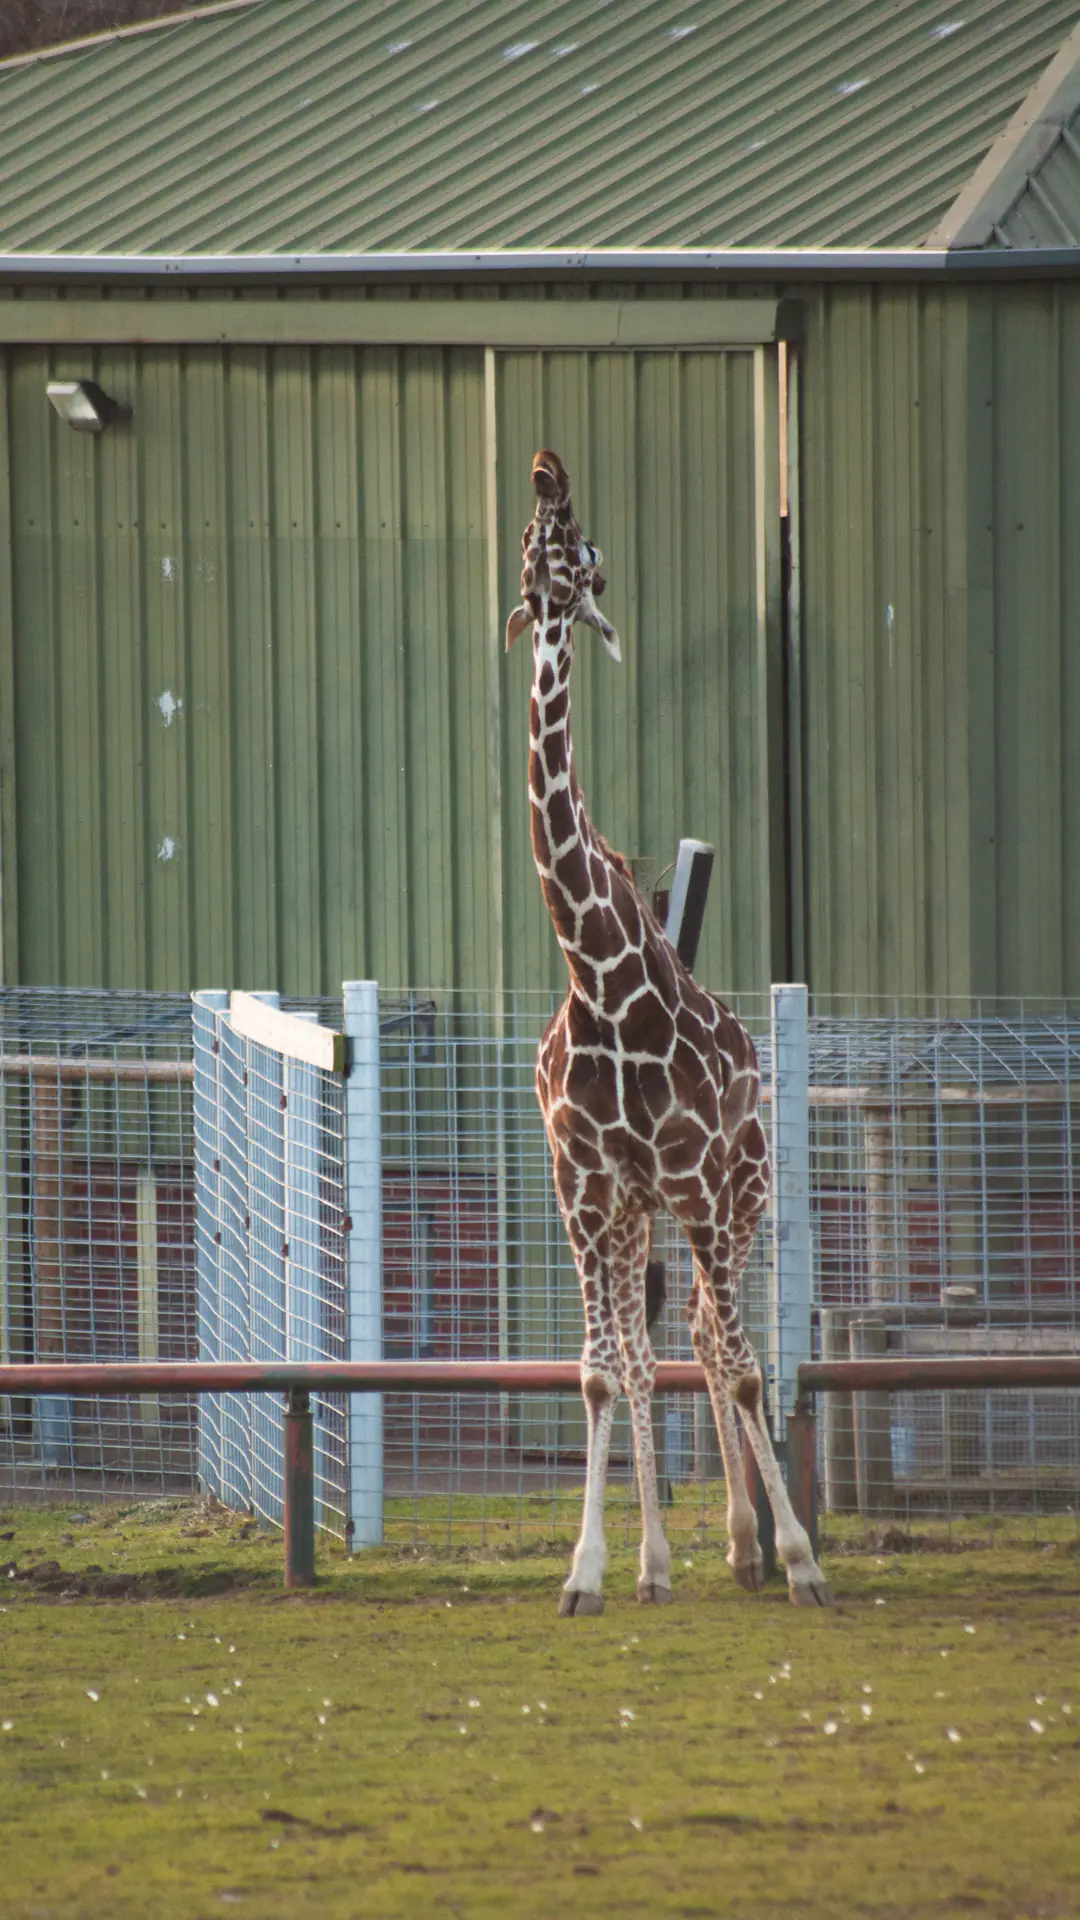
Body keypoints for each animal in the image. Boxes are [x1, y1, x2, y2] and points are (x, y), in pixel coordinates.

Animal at [505, 449, 831, 1613]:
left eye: (583, 543)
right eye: (537, 536)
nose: (546, 469)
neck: (601, 978)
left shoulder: (690, 1175)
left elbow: (737, 1364)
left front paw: (802, 1559)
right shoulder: (586, 1187)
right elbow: (607, 1370)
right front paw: (591, 1572)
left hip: (737, 1195)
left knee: (716, 1333)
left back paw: (750, 1545)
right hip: (642, 1215)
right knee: (667, 1340)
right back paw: (681, 1557)